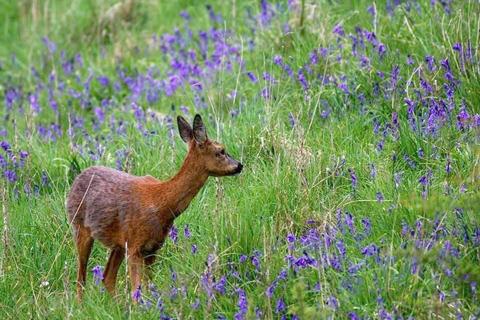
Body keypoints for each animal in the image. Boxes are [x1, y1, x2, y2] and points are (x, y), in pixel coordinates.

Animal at [65, 114, 242, 300]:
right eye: (221, 151)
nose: (239, 165)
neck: (161, 204)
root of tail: (77, 179)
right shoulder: (134, 246)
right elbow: (137, 291)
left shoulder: (152, 248)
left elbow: (149, 286)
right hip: (79, 227)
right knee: (81, 279)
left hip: (118, 244)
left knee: (107, 278)